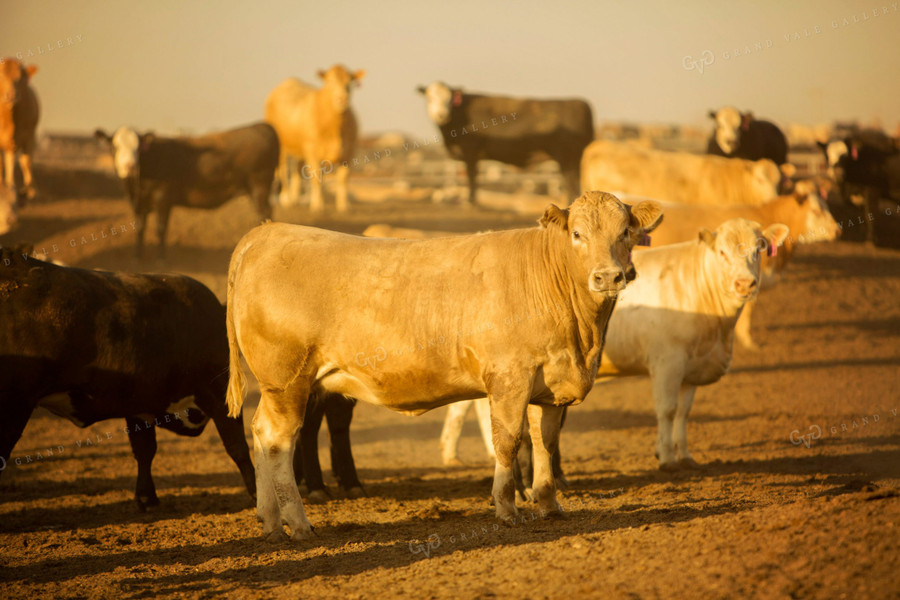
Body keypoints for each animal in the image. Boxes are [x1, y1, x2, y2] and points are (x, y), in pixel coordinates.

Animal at [0, 58, 40, 204]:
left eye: (20, 78)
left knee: (23, 160)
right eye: (1, 76)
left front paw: (29, 191)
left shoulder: (27, 136)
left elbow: (24, 162)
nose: (11, 95)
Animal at [0, 246, 253, 508]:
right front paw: (256, 494)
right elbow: (238, 447)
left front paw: (146, 496)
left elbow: (144, 450)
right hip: (14, 405)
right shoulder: (219, 393)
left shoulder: (138, 405)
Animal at [94, 123, 278, 258]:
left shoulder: (163, 198)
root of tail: (262, 126)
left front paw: (161, 260)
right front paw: (138, 258)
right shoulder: (138, 202)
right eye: (115, 146)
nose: (130, 166)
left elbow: (161, 228)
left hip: (259, 185)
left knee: (265, 212)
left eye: (138, 147)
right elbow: (140, 228)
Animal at [266, 63, 364, 212]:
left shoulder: (350, 150)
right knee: (283, 169)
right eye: (329, 82)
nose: (342, 99)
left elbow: (343, 178)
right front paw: (317, 204)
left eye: (350, 82)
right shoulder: (311, 148)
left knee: (296, 170)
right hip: (280, 144)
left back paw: (295, 199)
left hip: (299, 148)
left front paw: (343, 205)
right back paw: (286, 198)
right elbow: (317, 176)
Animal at [418, 82, 596, 205]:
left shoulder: (470, 150)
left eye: (449, 100)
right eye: (430, 98)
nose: (441, 115)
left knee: (571, 181)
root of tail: (580, 103)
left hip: (567, 156)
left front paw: (470, 201)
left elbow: (472, 176)